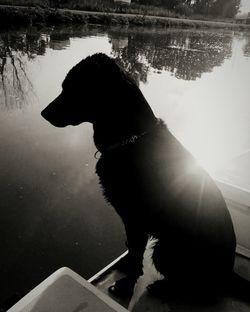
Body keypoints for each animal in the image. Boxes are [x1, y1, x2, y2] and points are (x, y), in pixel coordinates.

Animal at [41, 52, 248, 302]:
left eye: (72, 87)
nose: (43, 113)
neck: (131, 137)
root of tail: (230, 273)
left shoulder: (136, 219)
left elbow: (136, 254)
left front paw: (125, 288)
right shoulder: (131, 222)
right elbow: (132, 251)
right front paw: (126, 267)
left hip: (165, 251)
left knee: (201, 290)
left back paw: (163, 288)